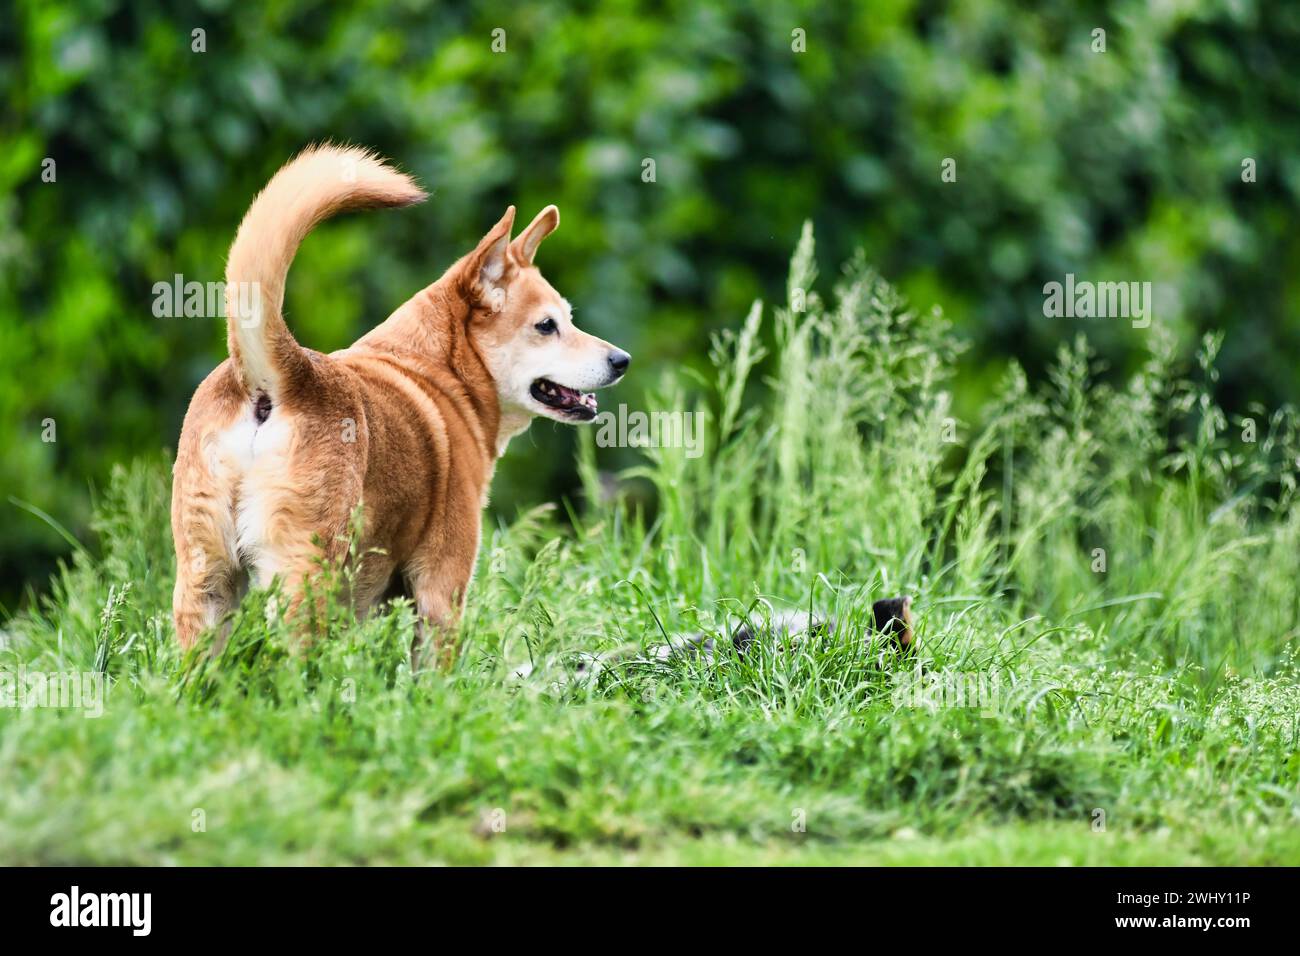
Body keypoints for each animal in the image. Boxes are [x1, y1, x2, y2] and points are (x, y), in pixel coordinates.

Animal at [171, 145, 629, 660]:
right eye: (547, 326)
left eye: (568, 319)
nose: (621, 360)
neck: (439, 371)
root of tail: (275, 378)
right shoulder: (441, 588)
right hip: (304, 579)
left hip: (205, 584)